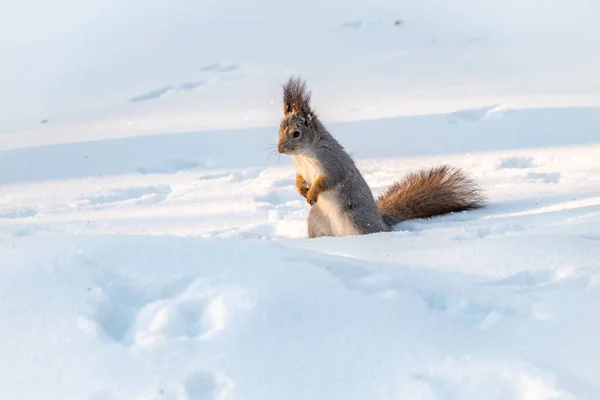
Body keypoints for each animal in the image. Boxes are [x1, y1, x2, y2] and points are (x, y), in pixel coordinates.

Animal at [278, 76, 486, 238]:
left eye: (296, 133)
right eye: (279, 129)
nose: (280, 149)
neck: (304, 154)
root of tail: (381, 222)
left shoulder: (332, 163)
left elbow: (328, 180)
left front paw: (312, 192)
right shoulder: (300, 168)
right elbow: (299, 178)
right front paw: (301, 188)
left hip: (356, 219)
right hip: (315, 220)